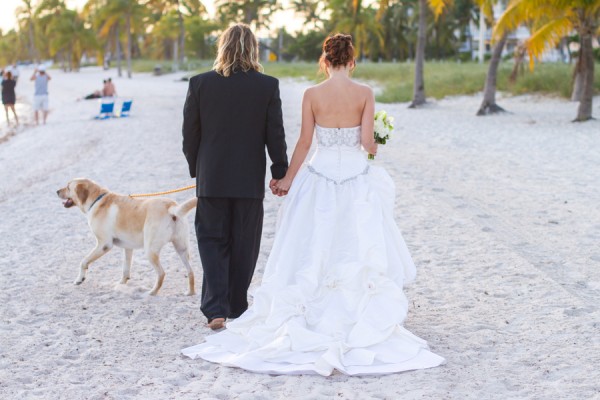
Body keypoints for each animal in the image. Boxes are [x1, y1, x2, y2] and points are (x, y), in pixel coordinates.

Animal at [56, 177, 197, 294]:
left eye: (68, 187)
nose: (56, 191)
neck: (96, 200)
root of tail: (171, 208)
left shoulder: (104, 244)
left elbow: (83, 261)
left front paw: (79, 279)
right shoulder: (128, 248)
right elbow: (125, 269)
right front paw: (121, 284)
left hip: (150, 250)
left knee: (161, 273)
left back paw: (152, 292)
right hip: (181, 248)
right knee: (191, 272)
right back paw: (190, 293)